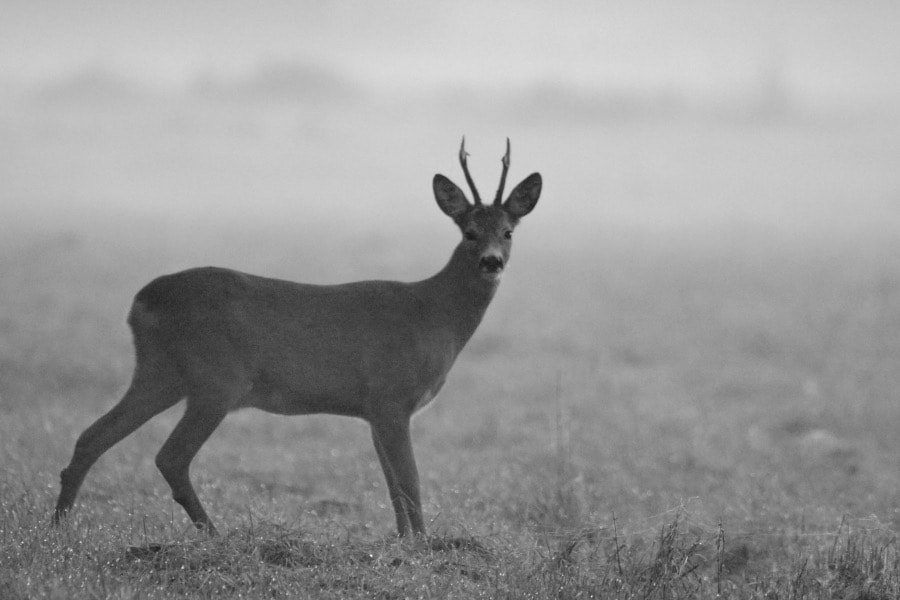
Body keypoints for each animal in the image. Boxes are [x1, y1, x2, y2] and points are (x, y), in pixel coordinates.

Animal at [53, 138, 542, 537]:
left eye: (508, 231)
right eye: (469, 232)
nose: (492, 262)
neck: (433, 314)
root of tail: (141, 301)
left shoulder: (374, 411)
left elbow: (392, 485)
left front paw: (404, 543)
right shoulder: (392, 397)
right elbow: (410, 481)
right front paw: (424, 546)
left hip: (161, 373)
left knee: (92, 436)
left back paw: (58, 527)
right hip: (217, 379)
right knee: (170, 456)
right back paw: (216, 534)